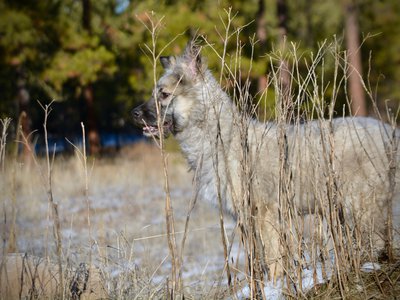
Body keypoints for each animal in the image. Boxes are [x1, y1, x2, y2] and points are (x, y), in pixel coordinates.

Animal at [132, 41, 400, 280]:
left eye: (164, 95)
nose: (134, 113)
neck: (223, 139)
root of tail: (390, 133)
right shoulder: (247, 219)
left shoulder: (265, 213)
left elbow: (273, 258)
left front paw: (274, 283)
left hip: (364, 205)